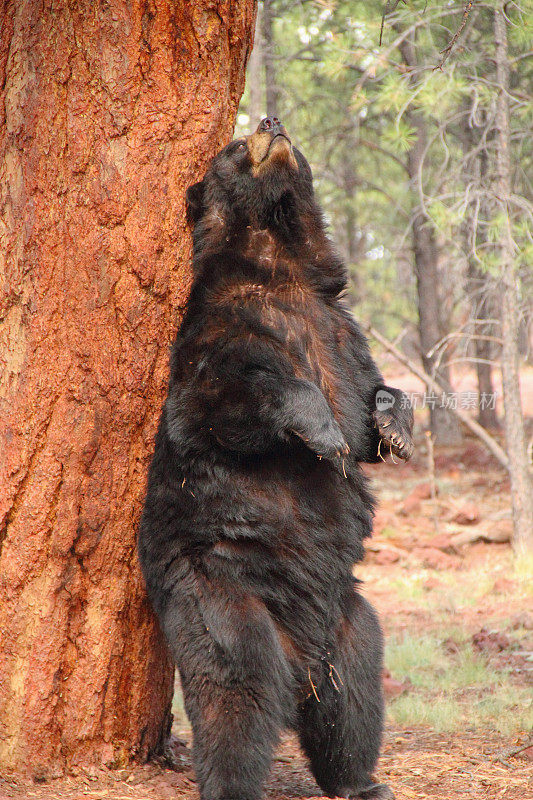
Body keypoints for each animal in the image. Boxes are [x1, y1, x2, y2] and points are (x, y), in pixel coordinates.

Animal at [137, 114, 412, 800]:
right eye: (234, 147)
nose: (269, 121)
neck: (276, 264)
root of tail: (300, 659)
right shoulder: (219, 334)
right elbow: (233, 400)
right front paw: (322, 433)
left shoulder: (340, 331)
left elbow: (369, 398)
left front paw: (396, 425)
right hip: (223, 600)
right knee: (238, 694)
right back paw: (235, 779)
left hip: (349, 623)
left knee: (354, 702)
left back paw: (362, 781)